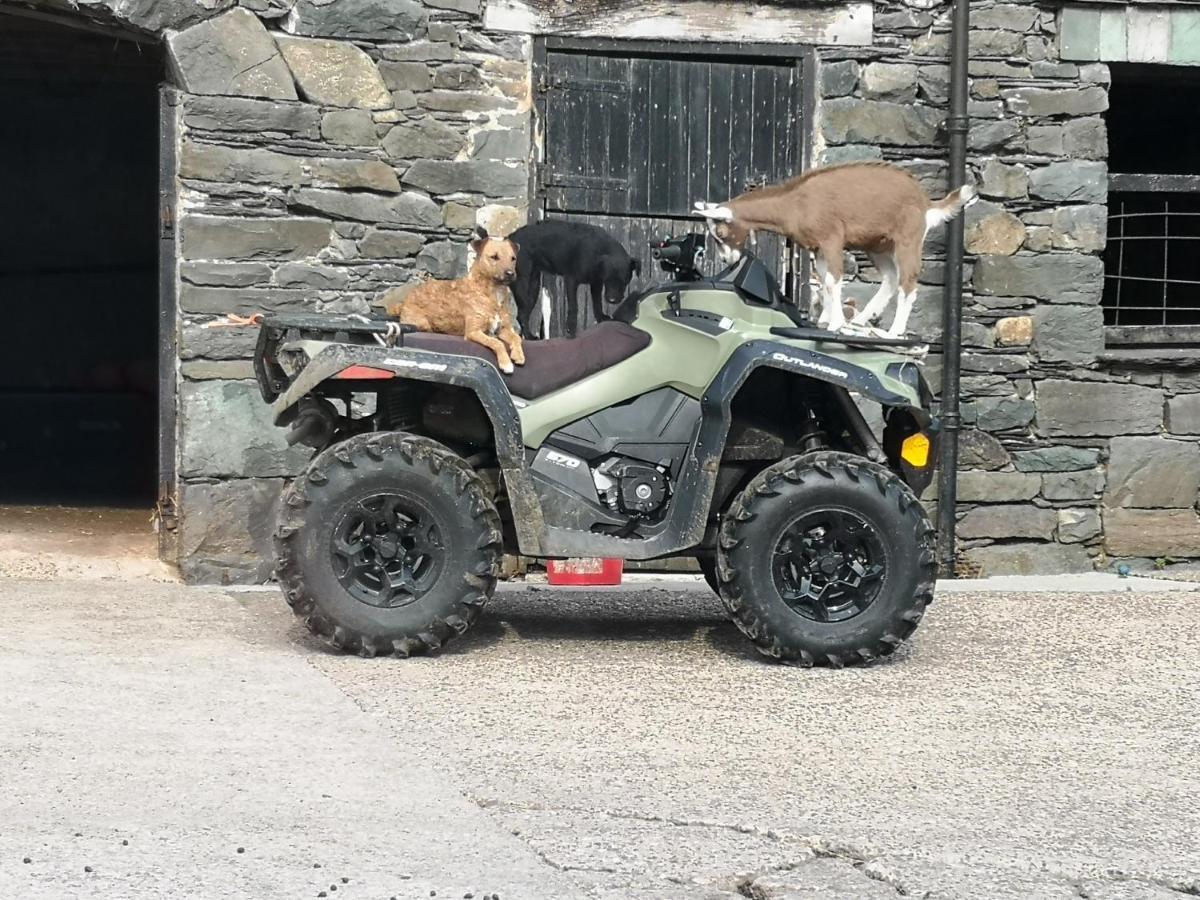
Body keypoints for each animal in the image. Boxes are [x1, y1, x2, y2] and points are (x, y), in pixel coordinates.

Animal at [384, 232, 525, 376]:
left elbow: (516, 338)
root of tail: (404, 302)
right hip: (422, 324)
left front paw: (518, 355)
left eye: (513, 258)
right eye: (494, 257)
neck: (493, 293)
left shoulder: (504, 329)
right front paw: (506, 363)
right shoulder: (474, 331)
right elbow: (496, 342)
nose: (510, 273)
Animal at [508, 220, 638, 340]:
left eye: (624, 282)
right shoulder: (571, 280)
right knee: (522, 314)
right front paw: (570, 329)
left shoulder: (596, 284)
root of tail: (511, 237)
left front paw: (601, 318)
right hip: (522, 284)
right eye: (608, 280)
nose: (612, 300)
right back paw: (529, 336)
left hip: (533, 287)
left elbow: (597, 303)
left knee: (523, 314)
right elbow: (574, 306)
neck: (599, 250)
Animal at [696, 162, 974, 338]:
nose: (727, 259)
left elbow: (833, 279)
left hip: (908, 238)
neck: (796, 203)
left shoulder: (832, 239)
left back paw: (894, 331)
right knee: (890, 279)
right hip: (877, 245)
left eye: (721, 234)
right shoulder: (817, 247)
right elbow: (824, 281)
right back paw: (861, 321)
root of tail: (927, 205)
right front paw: (827, 320)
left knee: (908, 283)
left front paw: (835, 324)